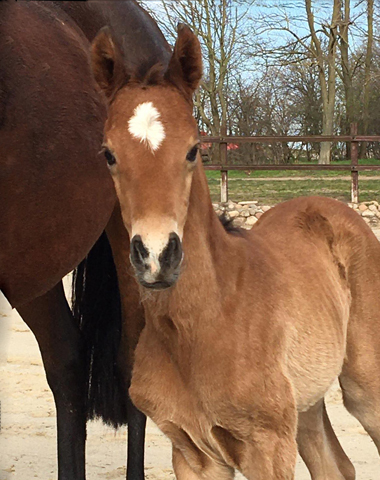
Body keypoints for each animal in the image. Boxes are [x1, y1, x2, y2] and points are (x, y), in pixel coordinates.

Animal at [92, 24, 380, 478]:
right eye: (109, 154)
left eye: (193, 149)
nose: (157, 257)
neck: (206, 322)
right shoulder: (192, 453)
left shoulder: (268, 448)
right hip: (306, 401)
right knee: (335, 466)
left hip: (365, 387)